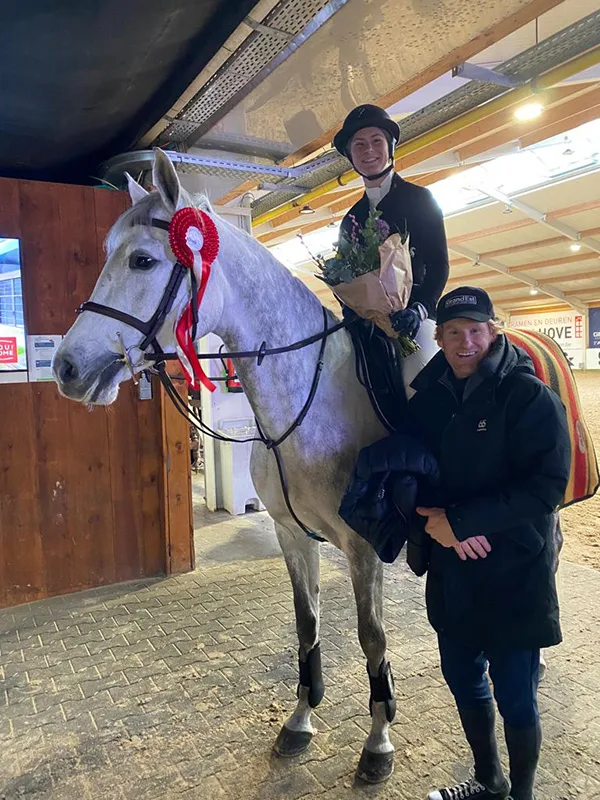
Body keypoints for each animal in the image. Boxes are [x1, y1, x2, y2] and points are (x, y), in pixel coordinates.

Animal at [53, 149, 402, 784]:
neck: (310, 396)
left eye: (143, 260)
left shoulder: (364, 547)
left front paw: (378, 740)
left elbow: (372, 638)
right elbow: (308, 624)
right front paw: (300, 720)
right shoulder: (293, 536)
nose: (66, 367)